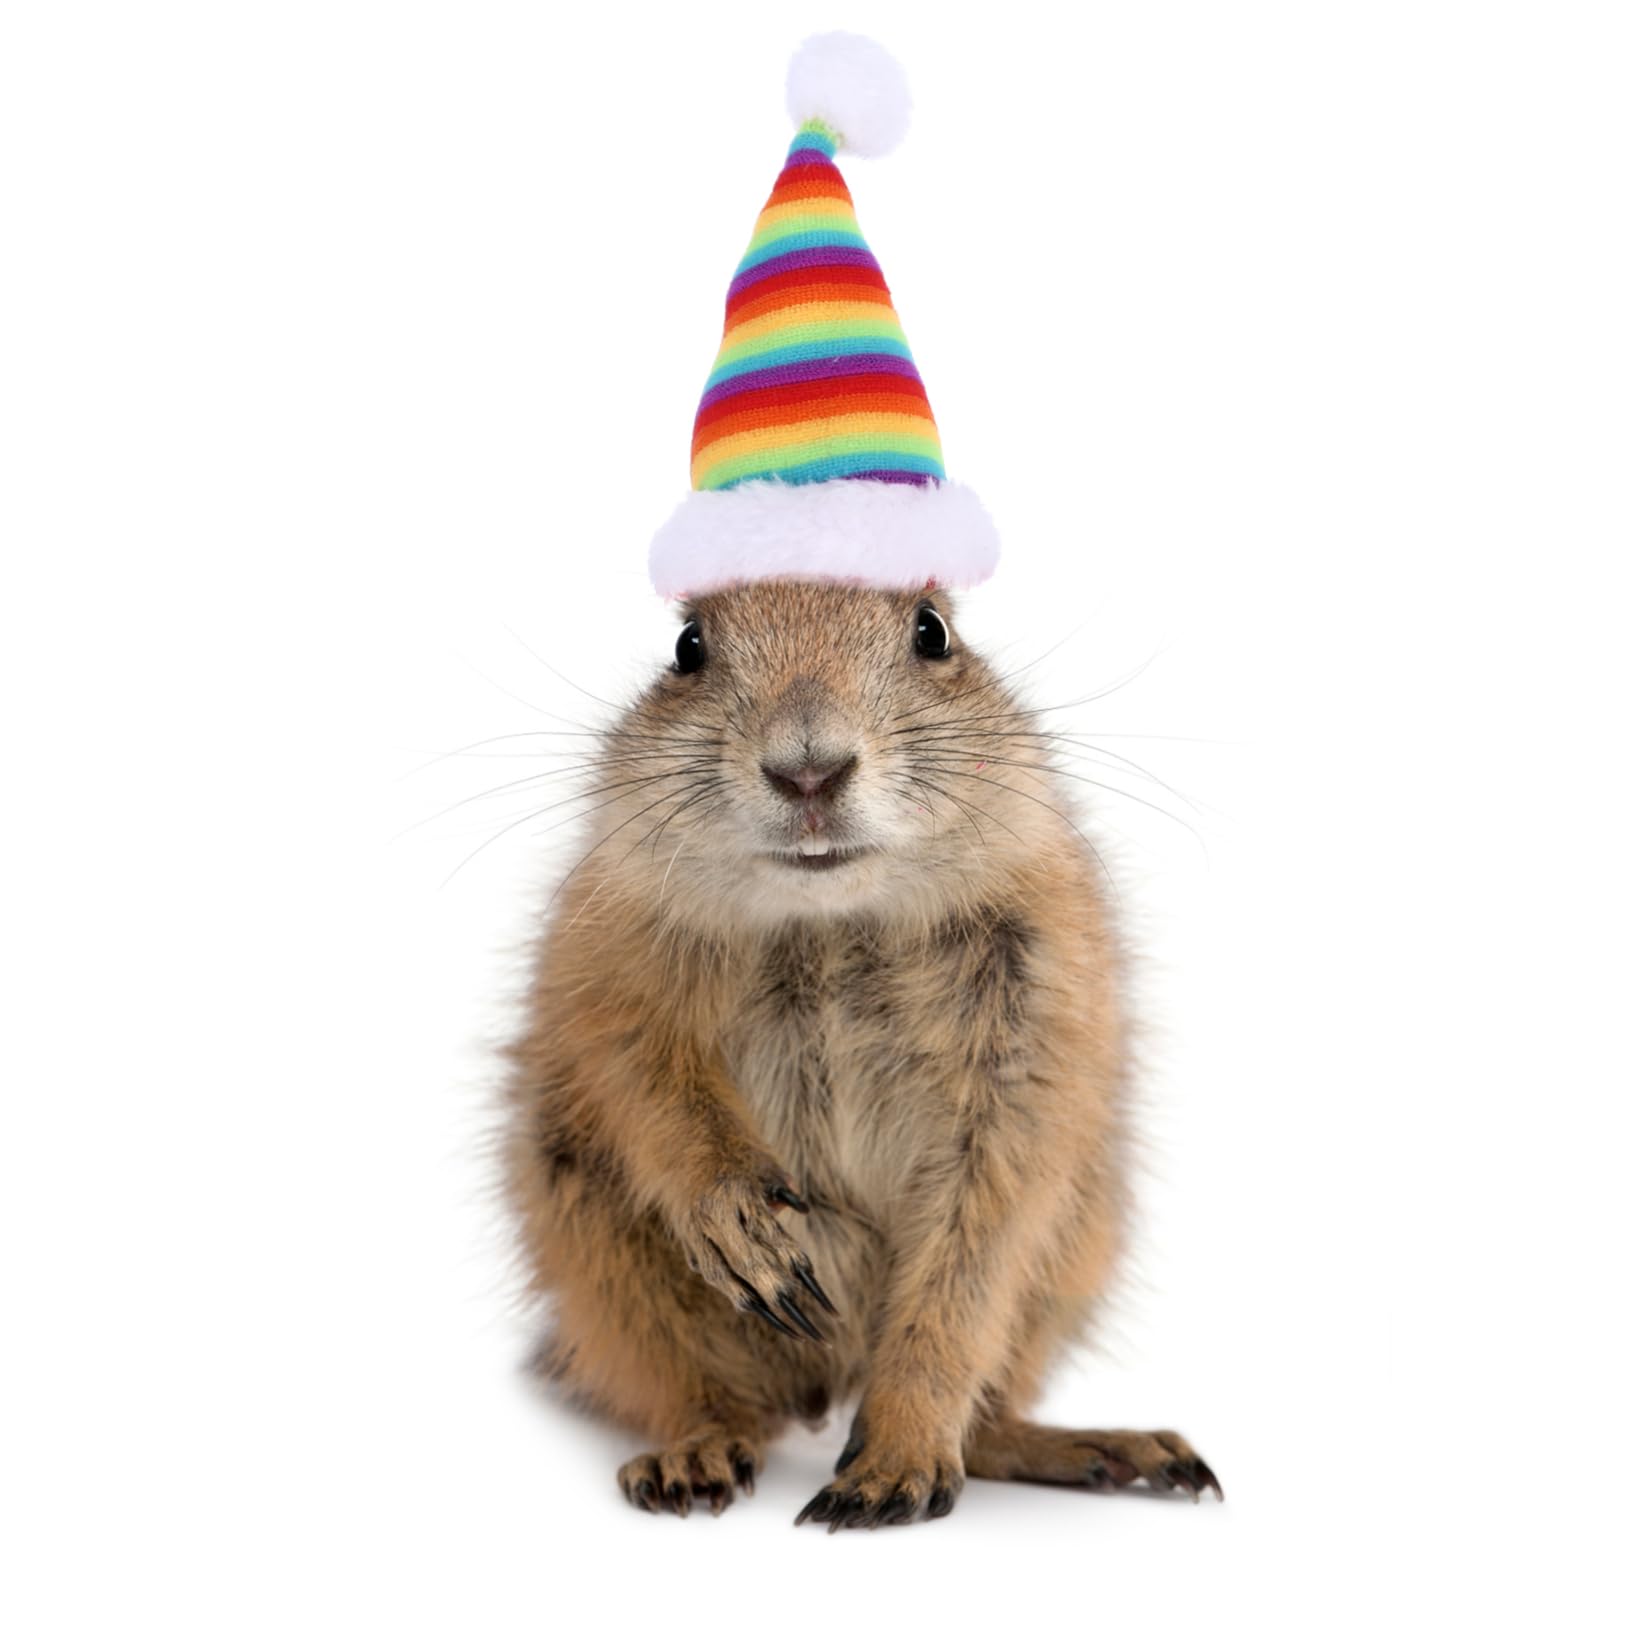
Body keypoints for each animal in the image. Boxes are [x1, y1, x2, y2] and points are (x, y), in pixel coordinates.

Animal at [500, 576, 1220, 1529]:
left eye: (932, 632)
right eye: (689, 648)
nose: (808, 769)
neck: (829, 914)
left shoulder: (1039, 985)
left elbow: (976, 1232)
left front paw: (894, 1465)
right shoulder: (613, 937)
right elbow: (640, 1070)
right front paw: (742, 1222)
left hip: (1074, 1255)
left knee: (990, 1418)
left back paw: (1103, 1449)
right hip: (596, 1250)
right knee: (708, 1396)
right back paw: (693, 1458)